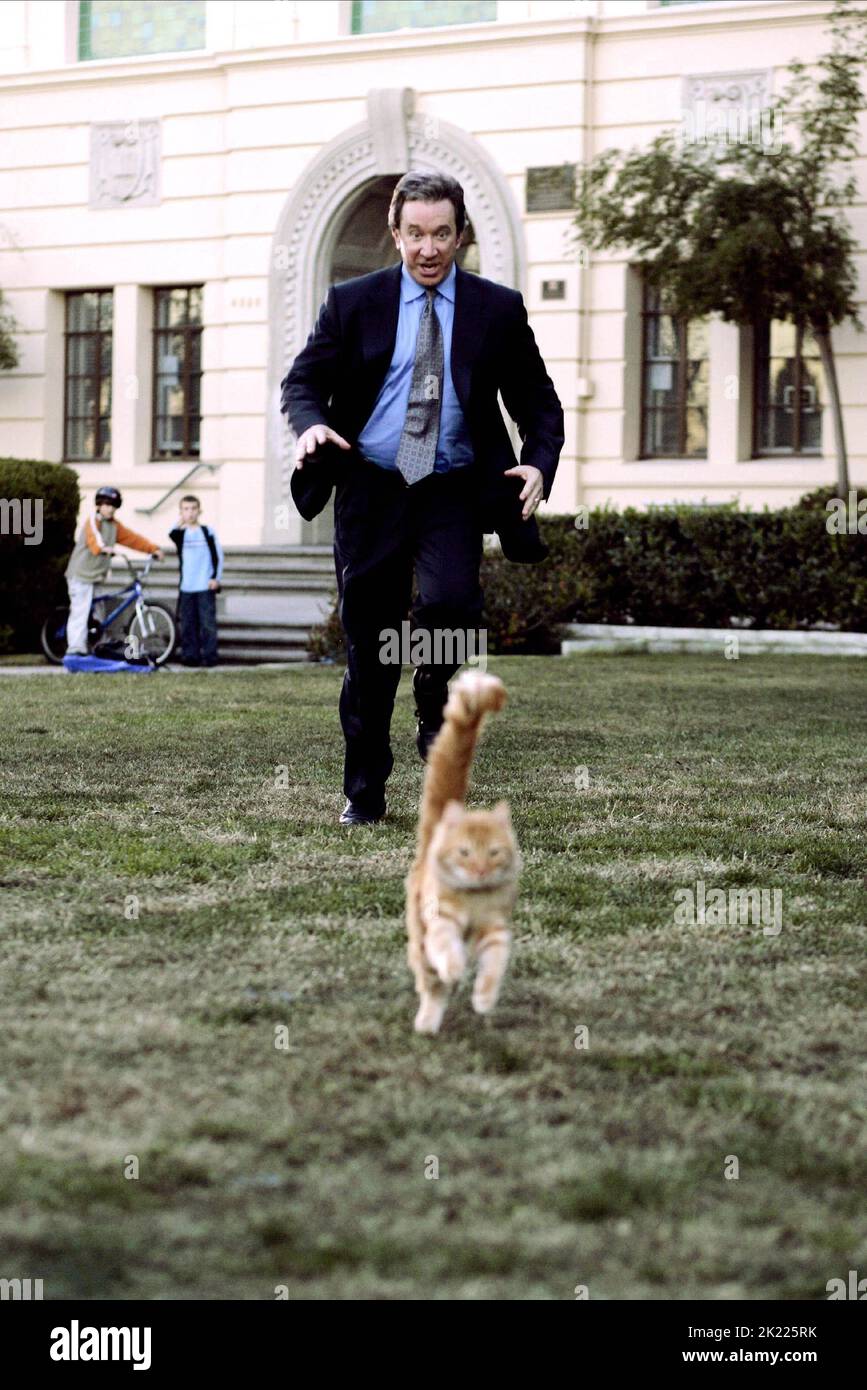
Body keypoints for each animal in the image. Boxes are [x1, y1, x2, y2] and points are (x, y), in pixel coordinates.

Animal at [402, 672, 516, 1034]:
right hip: (420, 939)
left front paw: (484, 999)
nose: (480, 870)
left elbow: (493, 968)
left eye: (494, 853)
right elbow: (447, 952)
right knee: (431, 985)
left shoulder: (495, 931)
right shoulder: (440, 922)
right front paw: (455, 969)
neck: (473, 899)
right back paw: (427, 1022)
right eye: (464, 853)